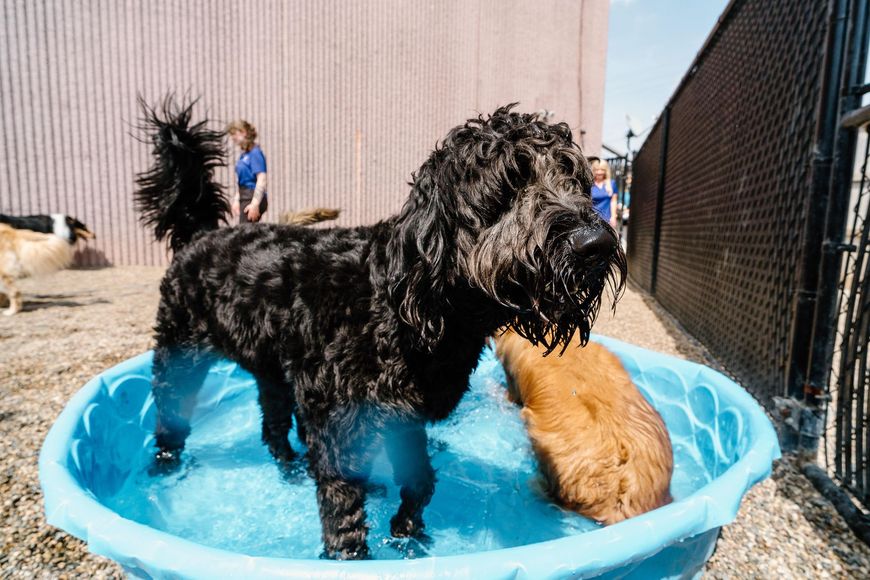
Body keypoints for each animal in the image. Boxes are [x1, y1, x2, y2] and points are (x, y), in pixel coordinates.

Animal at [135, 97, 628, 560]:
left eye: (576, 181)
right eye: (510, 183)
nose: (597, 244)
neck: (411, 307)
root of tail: (200, 234)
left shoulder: (404, 416)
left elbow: (420, 481)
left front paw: (407, 534)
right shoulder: (338, 423)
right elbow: (343, 510)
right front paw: (351, 553)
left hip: (271, 368)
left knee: (273, 424)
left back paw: (291, 466)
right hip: (180, 352)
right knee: (169, 416)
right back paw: (164, 468)